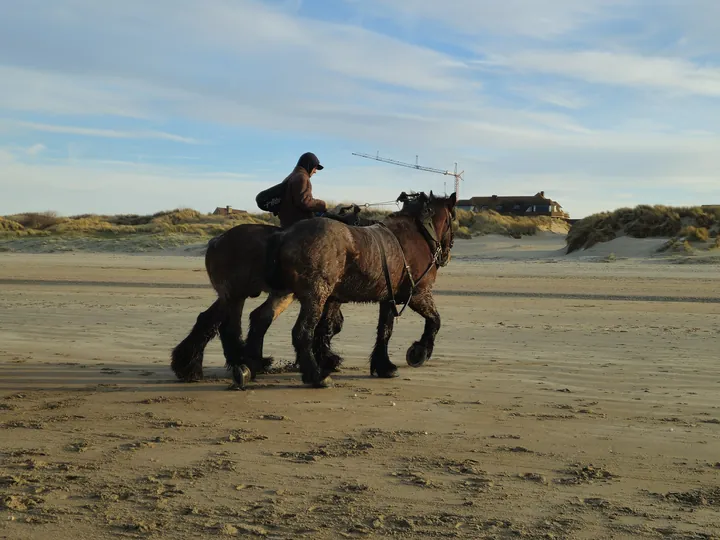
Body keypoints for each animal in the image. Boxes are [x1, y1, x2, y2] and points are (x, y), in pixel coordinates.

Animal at [169, 206, 376, 384]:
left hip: (236, 296)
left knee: (213, 320)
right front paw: (326, 360)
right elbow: (328, 325)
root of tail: (215, 242)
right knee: (227, 325)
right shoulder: (327, 298)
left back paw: (191, 365)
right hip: (236, 295)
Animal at [233, 192, 456, 390]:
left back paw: (249, 366)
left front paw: (384, 365)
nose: (445, 256)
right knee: (302, 332)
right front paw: (420, 351)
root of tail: (284, 235)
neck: (415, 235)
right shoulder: (418, 294)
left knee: (261, 318)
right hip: (316, 296)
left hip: (285, 293)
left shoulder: (387, 299)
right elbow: (435, 320)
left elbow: (384, 330)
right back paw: (317, 376)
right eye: (452, 220)